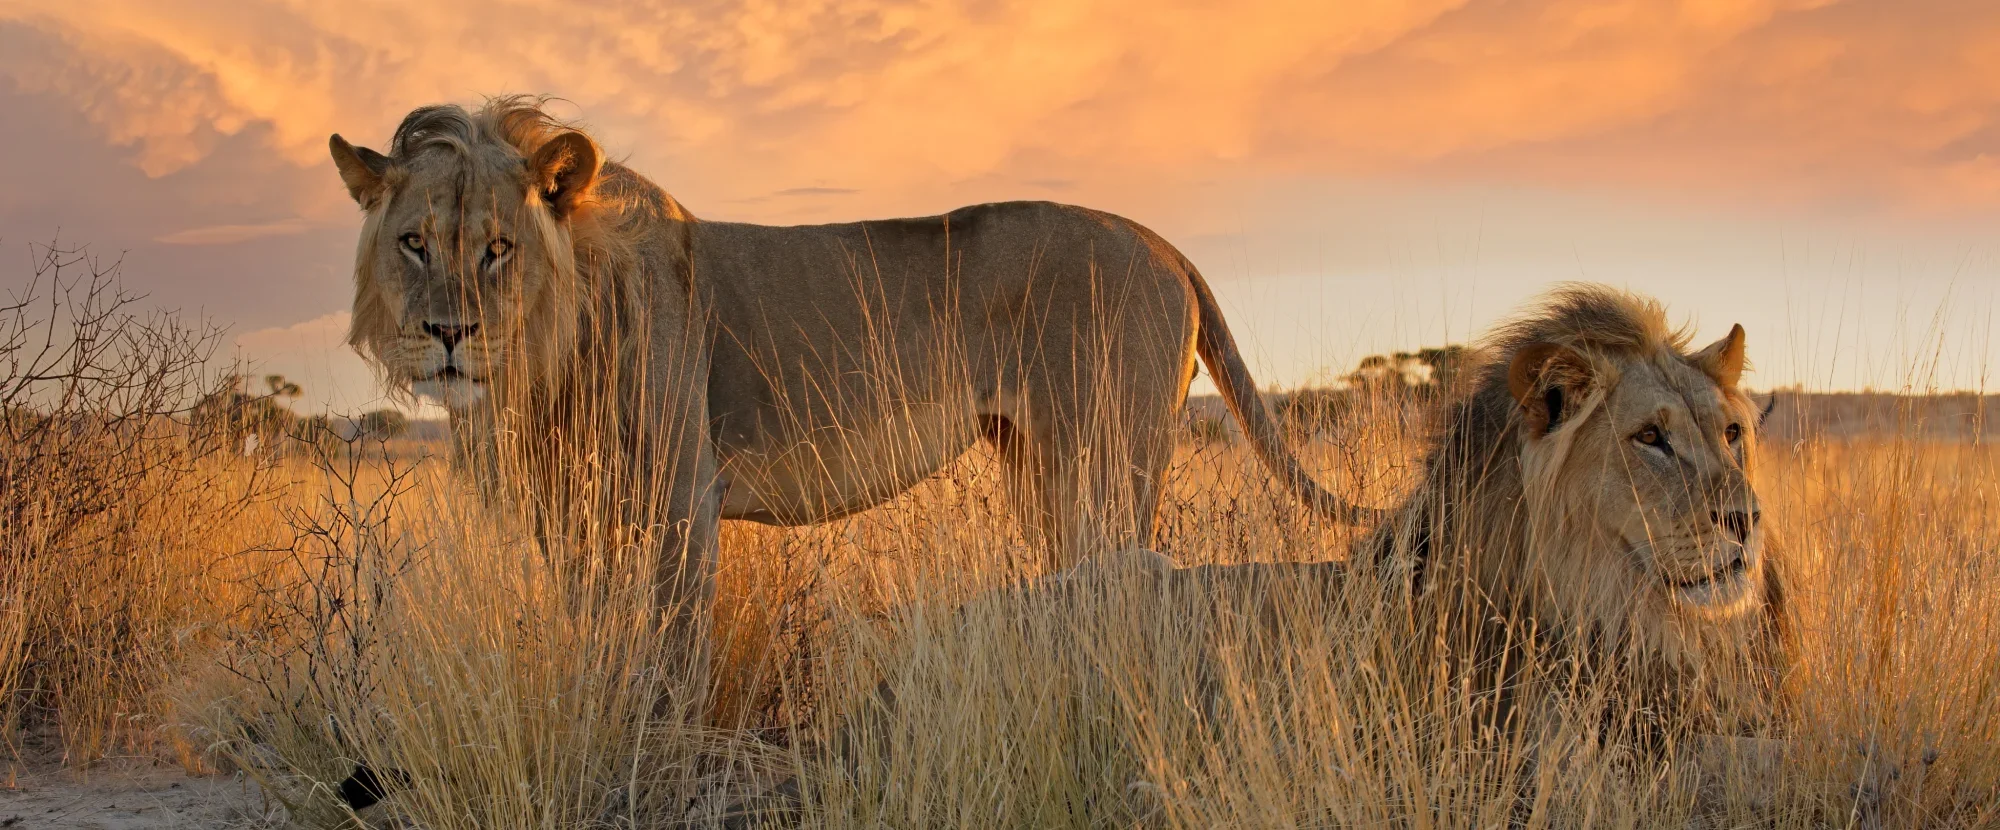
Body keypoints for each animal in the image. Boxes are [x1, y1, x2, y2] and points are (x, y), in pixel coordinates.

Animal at [325, 96, 1372, 624]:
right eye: (415, 243)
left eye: (497, 248)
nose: (449, 334)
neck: (542, 366)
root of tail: (1162, 241)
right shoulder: (569, 512)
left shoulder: (680, 493)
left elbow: (670, 655)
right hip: (1041, 465)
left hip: (1106, 460)